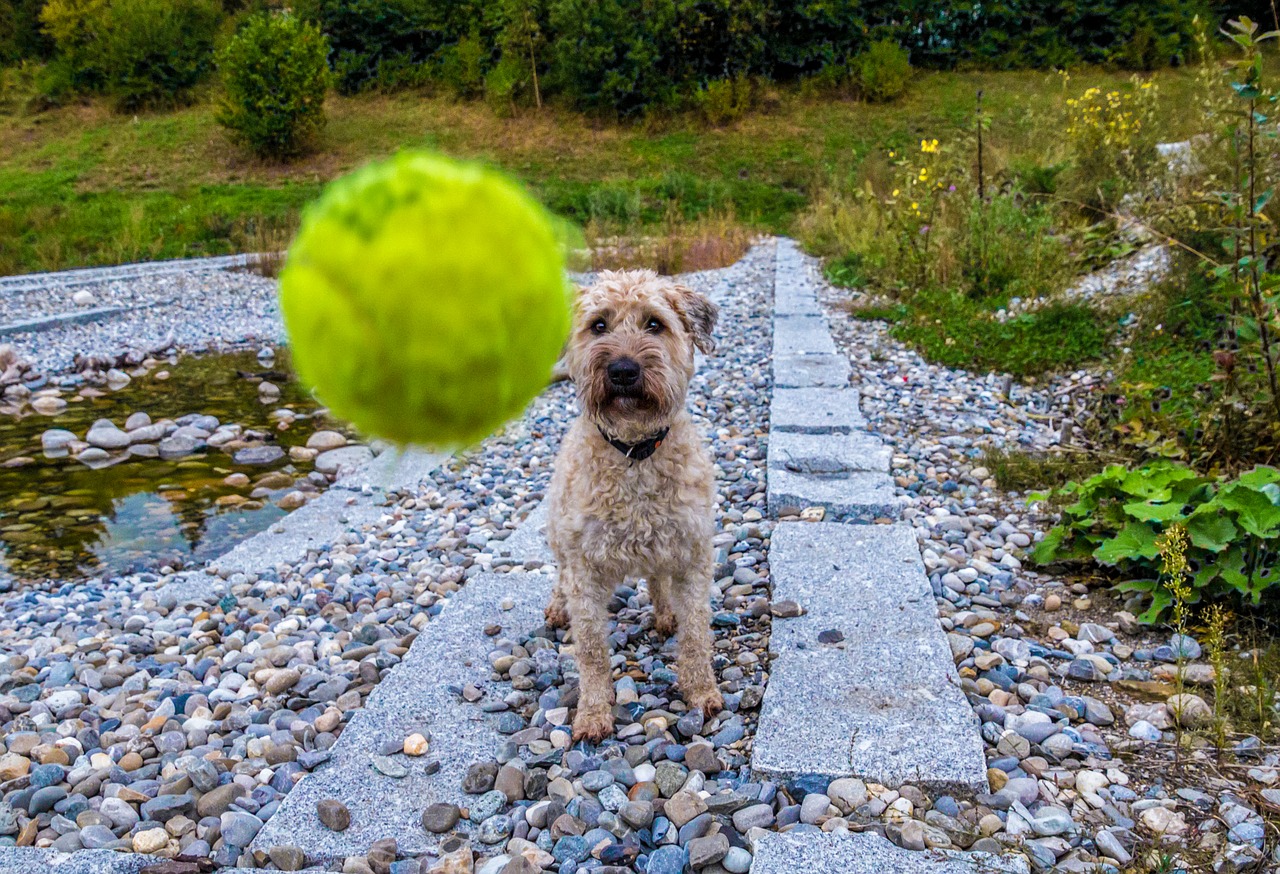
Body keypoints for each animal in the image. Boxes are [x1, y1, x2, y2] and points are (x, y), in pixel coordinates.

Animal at [545, 270, 727, 742]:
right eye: (598, 326)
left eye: (654, 324)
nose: (623, 370)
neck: (635, 452)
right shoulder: (584, 571)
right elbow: (590, 650)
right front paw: (593, 713)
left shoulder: (693, 556)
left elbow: (696, 633)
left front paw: (701, 692)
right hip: (558, 539)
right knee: (558, 573)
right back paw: (556, 607)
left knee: (657, 579)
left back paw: (663, 613)